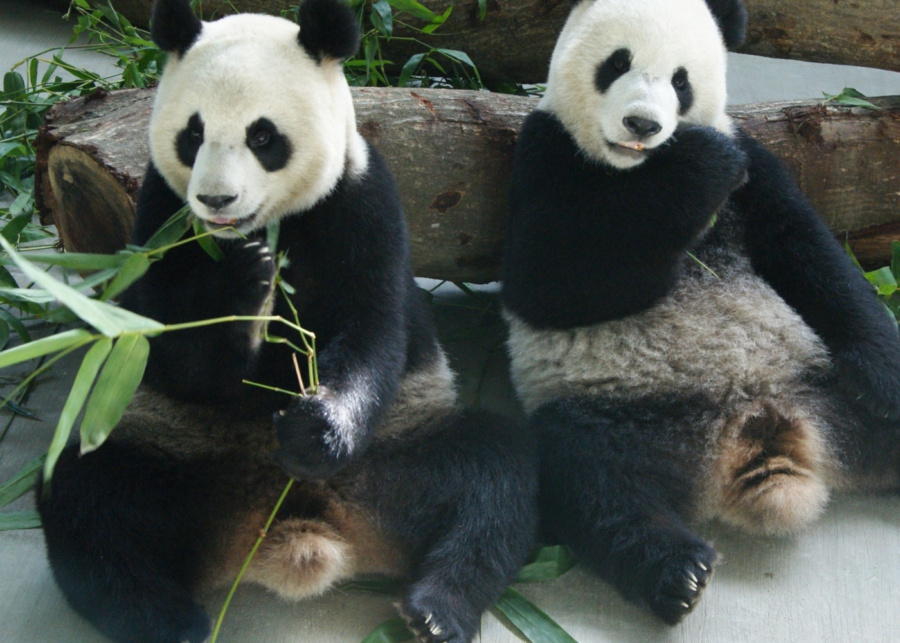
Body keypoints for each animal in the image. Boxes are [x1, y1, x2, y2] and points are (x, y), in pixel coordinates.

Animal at [37, 1, 536, 641]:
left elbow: (375, 327)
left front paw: (316, 428)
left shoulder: (360, 198)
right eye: (193, 133)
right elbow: (167, 347)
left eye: (263, 136)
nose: (217, 201)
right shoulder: (162, 213)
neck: (269, 225)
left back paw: (435, 609)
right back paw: (167, 619)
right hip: (178, 461)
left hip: (400, 454)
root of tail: (305, 527)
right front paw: (242, 289)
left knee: (496, 477)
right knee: (88, 501)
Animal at [501, 0, 900, 625]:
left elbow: (812, 255)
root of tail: (760, 435)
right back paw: (676, 572)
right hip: (627, 419)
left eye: (681, 81)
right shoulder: (544, 153)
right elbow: (546, 280)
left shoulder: (757, 165)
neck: (632, 170)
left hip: (817, 382)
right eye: (617, 63)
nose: (642, 125)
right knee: (591, 480)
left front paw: (881, 377)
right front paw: (696, 170)